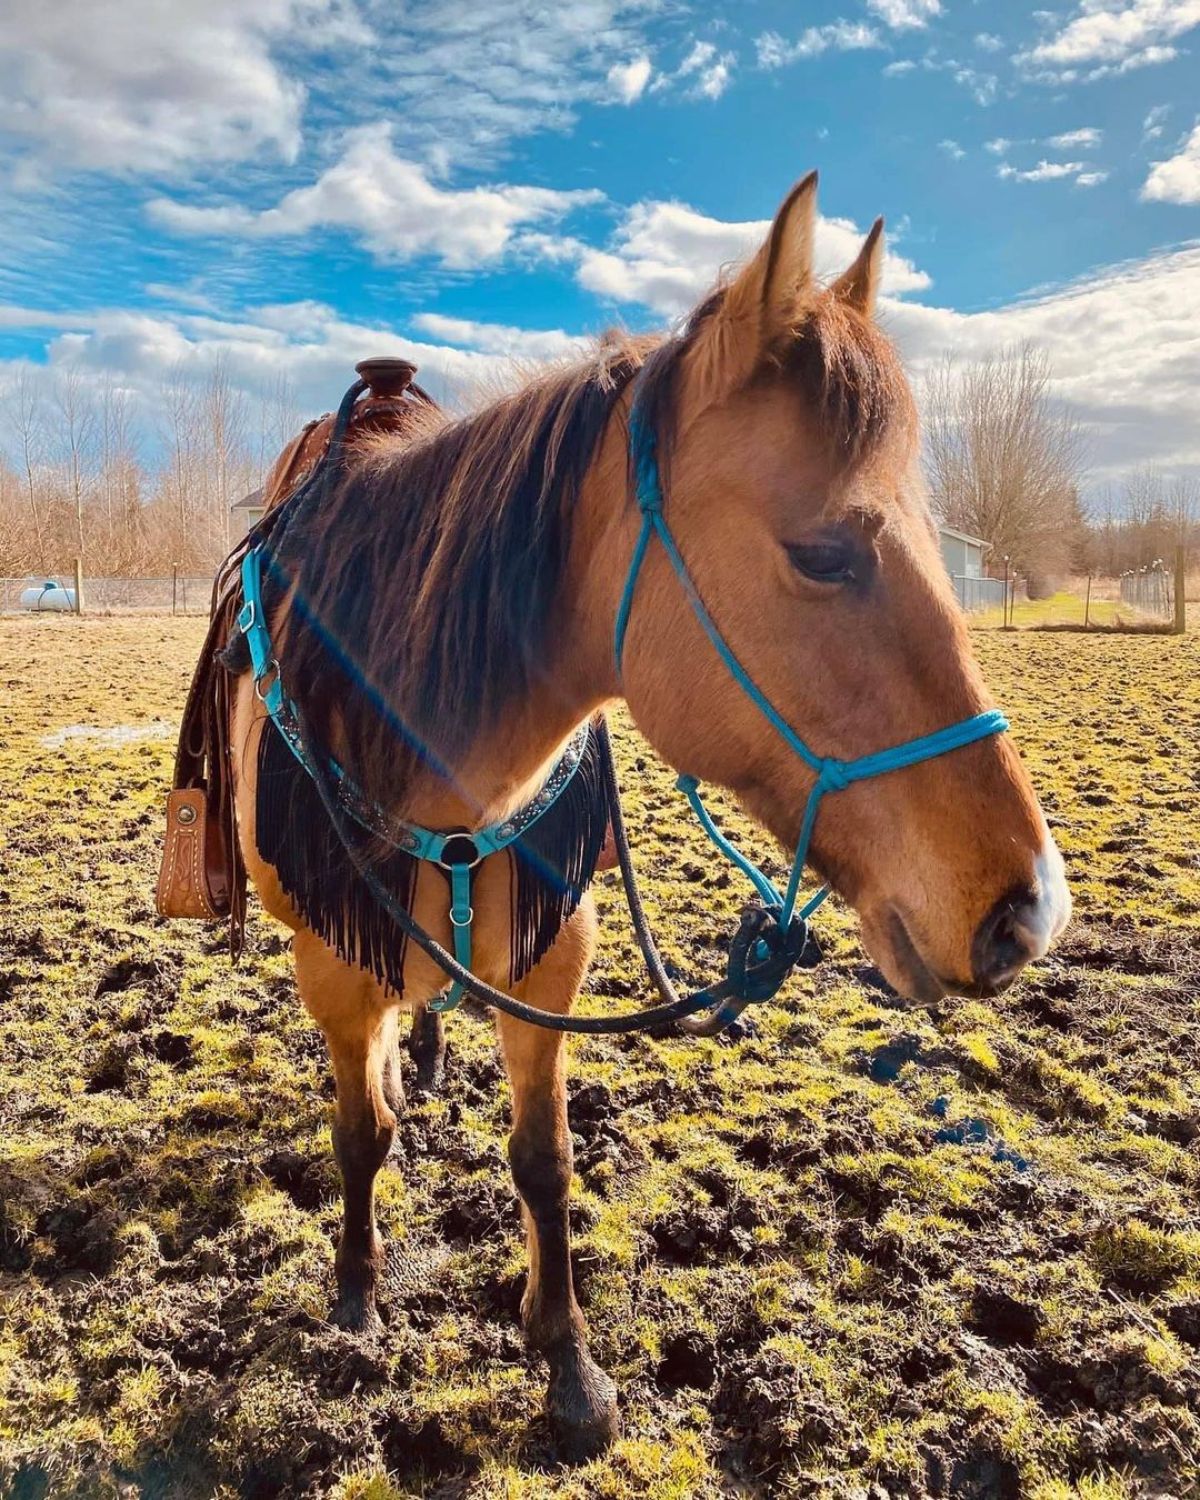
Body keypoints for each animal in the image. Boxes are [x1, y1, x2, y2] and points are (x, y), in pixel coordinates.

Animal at [222, 172, 1068, 1452]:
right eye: (823, 554)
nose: (1028, 910)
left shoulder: (549, 957)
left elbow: (544, 1159)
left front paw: (567, 1363)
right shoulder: (332, 959)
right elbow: (359, 1134)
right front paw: (359, 1296)